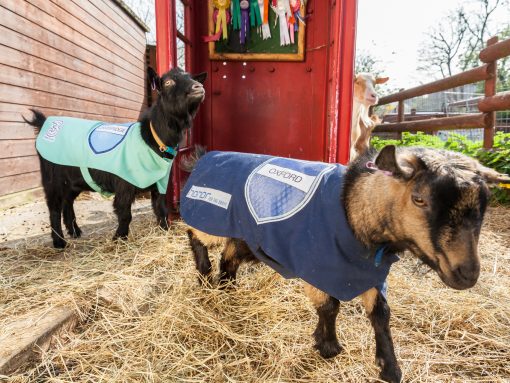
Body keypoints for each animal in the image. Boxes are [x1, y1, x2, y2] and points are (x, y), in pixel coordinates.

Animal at [25, 67, 205, 249]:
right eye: (168, 82)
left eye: (190, 76)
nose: (198, 87)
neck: (152, 138)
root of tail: (45, 123)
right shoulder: (124, 184)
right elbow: (125, 213)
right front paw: (119, 239)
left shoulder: (159, 183)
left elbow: (161, 209)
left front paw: (165, 231)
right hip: (52, 177)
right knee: (54, 207)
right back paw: (59, 242)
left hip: (73, 180)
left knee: (67, 203)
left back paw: (75, 232)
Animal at [180, 146, 510, 382]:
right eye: (419, 199)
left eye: (484, 204)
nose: (467, 274)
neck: (352, 209)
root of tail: (203, 158)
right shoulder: (315, 264)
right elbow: (330, 306)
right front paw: (328, 347)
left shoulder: (370, 274)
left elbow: (381, 314)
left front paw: (389, 369)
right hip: (209, 215)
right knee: (194, 233)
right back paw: (204, 272)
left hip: (245, 233)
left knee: (230, 255)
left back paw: (227, 287)